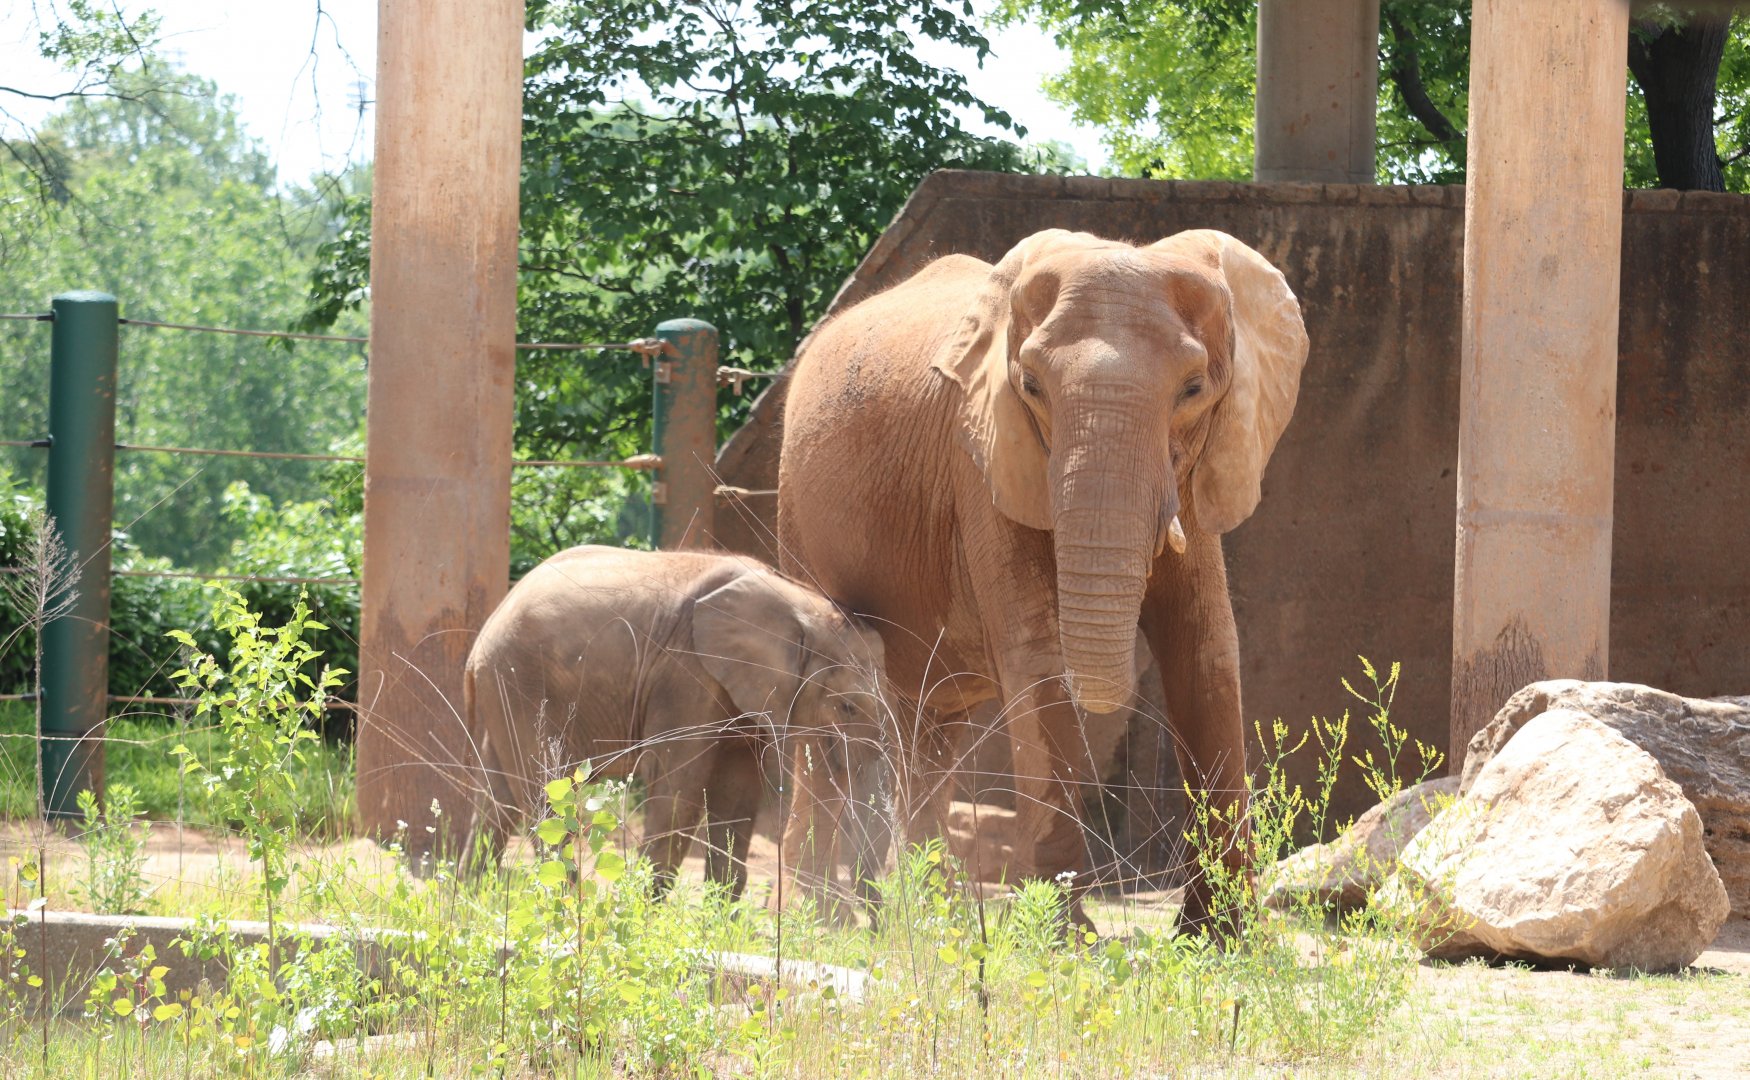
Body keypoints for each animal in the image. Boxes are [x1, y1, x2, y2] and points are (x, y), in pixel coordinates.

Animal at [462, 545, 887, 900]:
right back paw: (565, 906)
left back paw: (473, 899)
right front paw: (646, 913)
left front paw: (722, 922)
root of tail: (480, 640)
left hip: (504, 693)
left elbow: (738, 791)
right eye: (848, 707)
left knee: (497, 798)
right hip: (523, 686)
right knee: (545, 795)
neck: (800, 603)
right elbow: (680, 784)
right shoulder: (685, 673)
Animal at [775, 228, 1308, 932]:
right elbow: (1036, 655)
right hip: (797, 518)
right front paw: (1068, 941)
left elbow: (1206, 650)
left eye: (1194, 389)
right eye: (1030, 386)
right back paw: (821, 923)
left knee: (929, 725)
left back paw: (928, 918)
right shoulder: (983, 458)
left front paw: (1222, 937)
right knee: (828, 716)